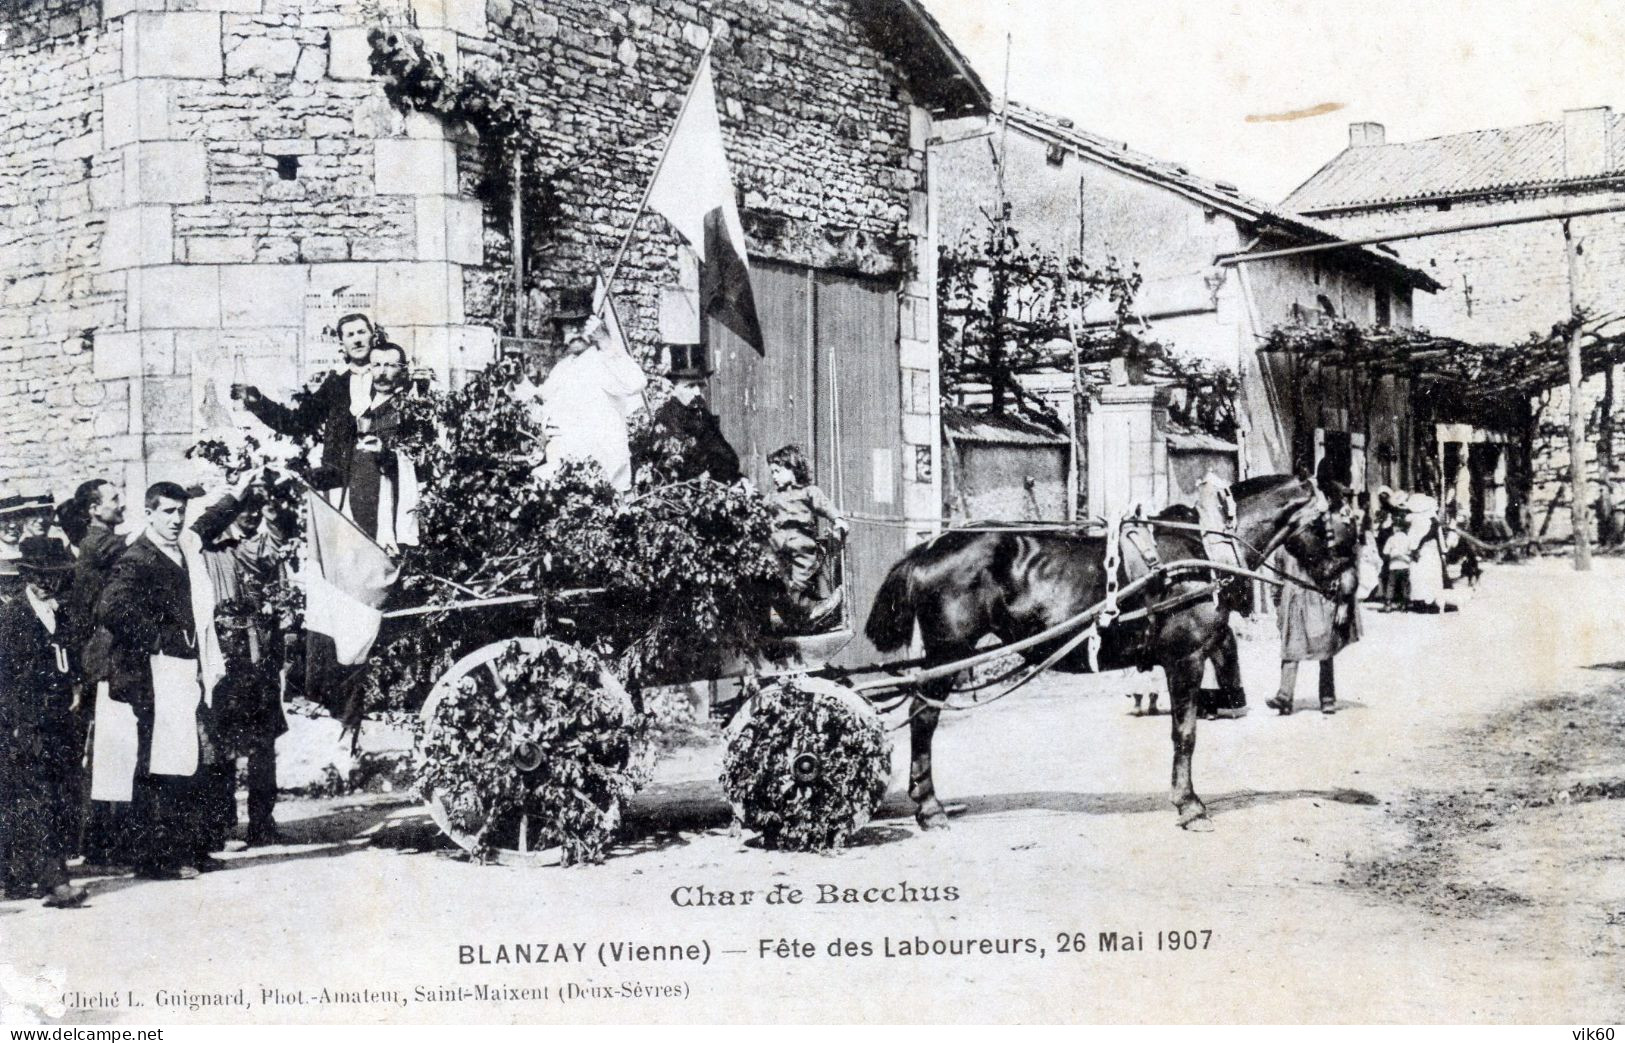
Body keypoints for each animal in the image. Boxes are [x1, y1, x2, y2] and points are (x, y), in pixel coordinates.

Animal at [864, 471, 1358, 828]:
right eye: (1343, 526)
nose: (1347, 593)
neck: (1202, 548)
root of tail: (929, 546)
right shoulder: (1186, 658)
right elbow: (1185, 733)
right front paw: (1189, 805)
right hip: (948, 653)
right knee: (923, 719)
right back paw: (930, 808)